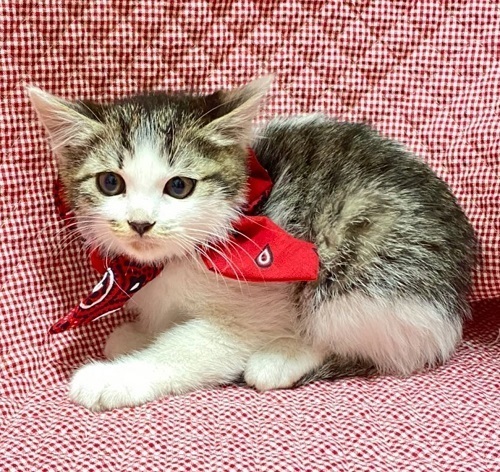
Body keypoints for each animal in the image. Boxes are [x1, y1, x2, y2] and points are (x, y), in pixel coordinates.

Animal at [29, 77, 476, 411]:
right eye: (110, 182)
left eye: (179, 187)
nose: (141, 223)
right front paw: (136, 335)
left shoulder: (252, 305)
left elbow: (187, 350)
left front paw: (115, 376)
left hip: (364, 271)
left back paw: (282, 358)